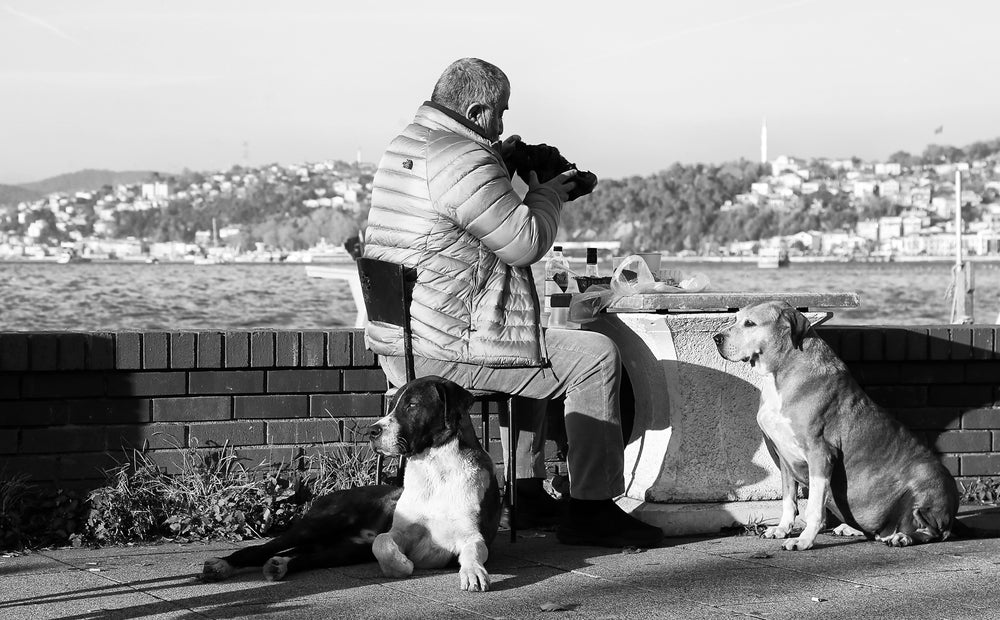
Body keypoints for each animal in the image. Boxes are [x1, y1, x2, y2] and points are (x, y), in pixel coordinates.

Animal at [202, 372, 500, 592]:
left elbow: (474, 550)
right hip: (319, 524)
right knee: (259, 549)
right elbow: (382, 542)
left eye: (412, 405)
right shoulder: (397, 533)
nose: (372, 431)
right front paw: (401, 565)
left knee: (302, 556)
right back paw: (220, 565)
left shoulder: (473, 534)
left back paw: (279, 565)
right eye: (392, 405)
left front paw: (473, 572)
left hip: (343, 549)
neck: (435, 470)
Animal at [712, 302, 960, 548]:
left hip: (926, 479)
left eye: (750, 323)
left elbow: (814, 507)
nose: (716, 338)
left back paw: (903, 537)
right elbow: (788, 499)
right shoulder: (784, 457)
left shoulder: (821, 454)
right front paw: (781, 529)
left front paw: (803, 540)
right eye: (736, 318)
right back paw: (855, 529)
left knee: (932, 531)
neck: (782, 372)